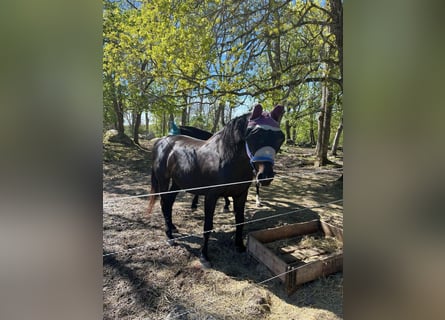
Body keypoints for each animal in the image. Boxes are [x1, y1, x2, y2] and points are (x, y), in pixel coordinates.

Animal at [147, 104, 282, 266]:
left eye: (280, 138)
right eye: (253, 135)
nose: (265, 176)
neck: (224, 158)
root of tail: (162, 141)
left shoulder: (241, 194)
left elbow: (240, 220)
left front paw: (240, 246)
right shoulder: (211, 196)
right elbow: (208, 225)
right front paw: (204, 256)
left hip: (178, 182)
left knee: (169, 202)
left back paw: (172, 227)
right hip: (164, 180)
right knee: (164, 202)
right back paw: (169, 236)